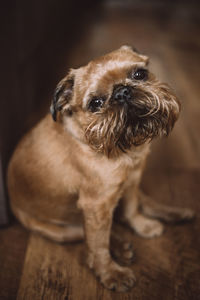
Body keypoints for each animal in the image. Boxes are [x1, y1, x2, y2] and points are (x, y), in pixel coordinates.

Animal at [7, 45, 195, 292]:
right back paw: (120, 247)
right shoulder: (96, 206)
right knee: (88, 235)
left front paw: (142, 226)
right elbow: (98, 246)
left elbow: (132, 209)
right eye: (95, 103)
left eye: (139, 74)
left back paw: (174, 213)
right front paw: (111, 273)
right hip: (59, 231)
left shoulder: (132, 181)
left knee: (140, 204)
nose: (122, 92)